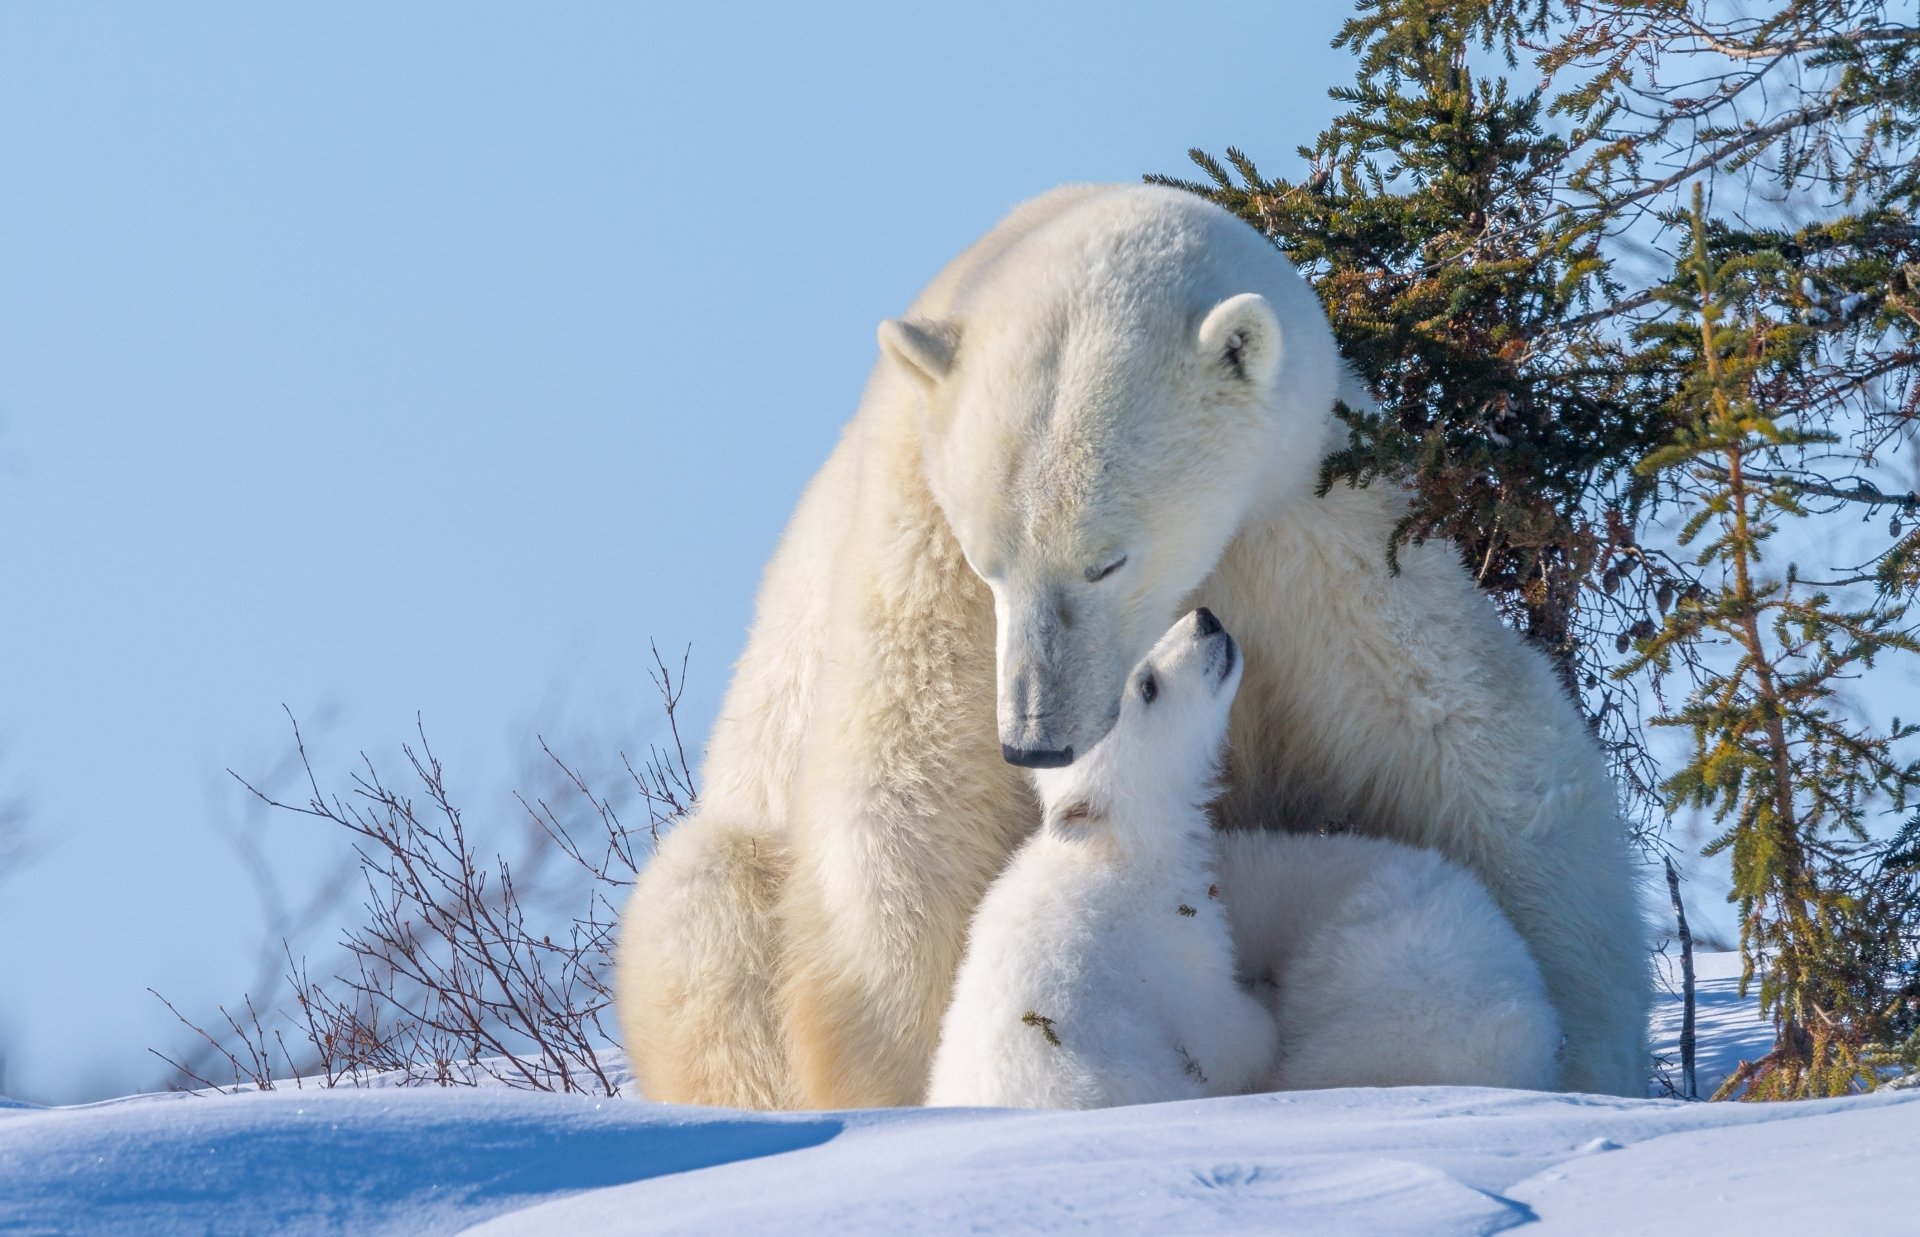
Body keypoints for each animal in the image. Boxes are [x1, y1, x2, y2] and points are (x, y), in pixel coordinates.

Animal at [926, 609, 1561, 1109]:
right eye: (1148, 687)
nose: (1205, 618)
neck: (1122, 846)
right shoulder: (1169, 941)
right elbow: (1222, 1028)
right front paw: (1260, 1019)